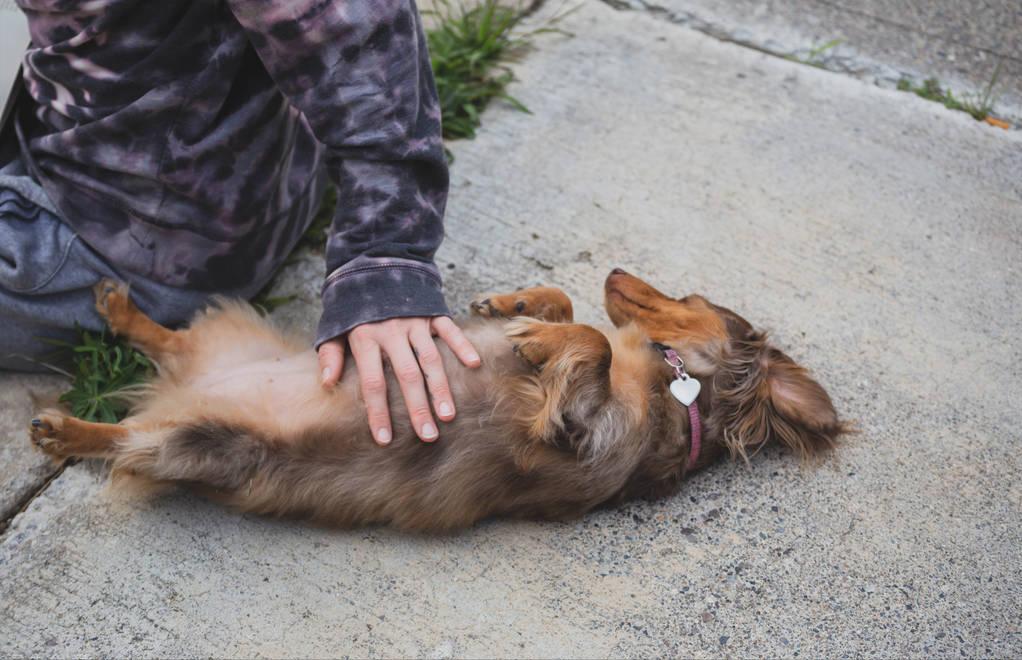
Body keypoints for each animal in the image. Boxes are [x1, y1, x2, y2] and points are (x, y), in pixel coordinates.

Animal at [29, 269, 846, 531]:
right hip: (218, 349)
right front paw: (519, 309)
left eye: (692, 300)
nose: (616, 268)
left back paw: (62, 430)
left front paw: (537, 339)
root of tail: (188, 393)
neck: (674, 395)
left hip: (201, 444)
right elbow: (572, 313)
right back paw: (117, 308)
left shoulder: (584, 436)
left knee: (126, 438)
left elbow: (591, 343)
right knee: (163, 341)